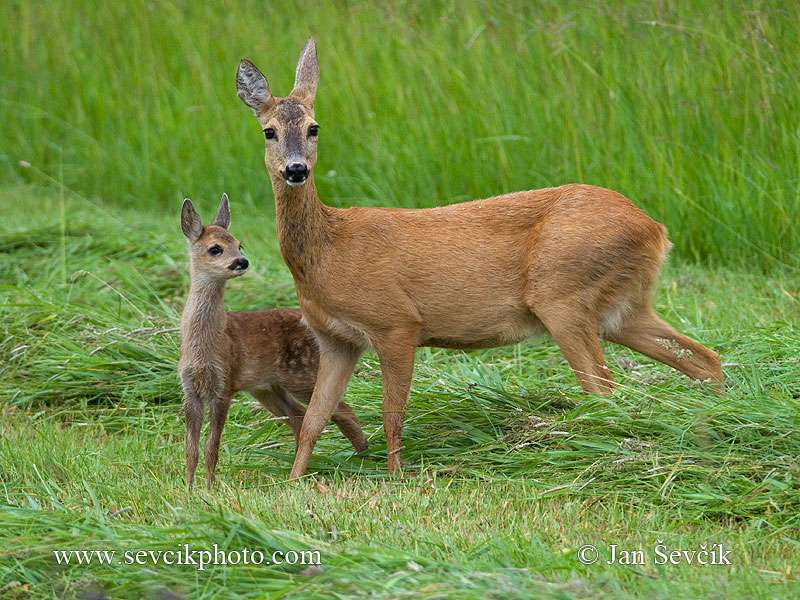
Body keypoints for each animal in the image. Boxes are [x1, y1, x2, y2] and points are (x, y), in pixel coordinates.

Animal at [178, 192, 366, 488]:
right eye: (215, 249)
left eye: (239, 244)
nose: (242, 262)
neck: (203, 345)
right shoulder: (190, 389)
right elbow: (190, 449)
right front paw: (189, 488)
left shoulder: (224, 385)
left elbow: (212, 446)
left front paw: (209, 487)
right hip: (267, 388)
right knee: (299, 417)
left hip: (301, 374)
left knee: (339, 410)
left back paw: (363, 457)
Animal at [234, 37, 720, 478]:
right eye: (268, 131)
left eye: (314, 128)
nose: (296, 169)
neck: (328, 251)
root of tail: (655, 229)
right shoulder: (336, 339)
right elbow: (313, 420)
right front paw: (295, 482)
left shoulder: (396, 321)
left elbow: (392, 413)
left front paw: (396, 478)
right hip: (621, 307)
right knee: (703, 358)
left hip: (562, 293)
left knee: (603, 386)